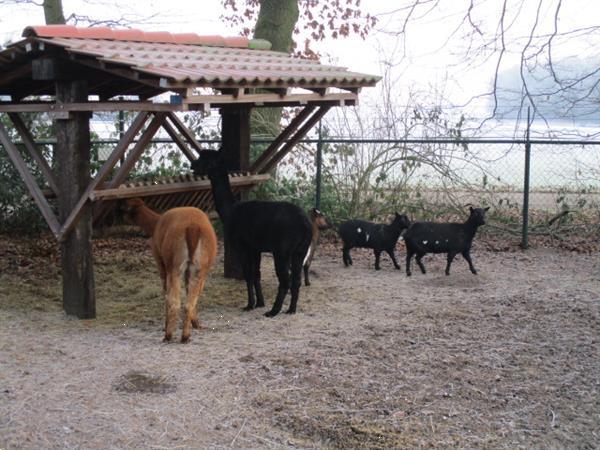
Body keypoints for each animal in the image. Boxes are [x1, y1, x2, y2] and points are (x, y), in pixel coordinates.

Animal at [192, 150, 314, 316]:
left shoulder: (242, 246)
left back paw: (274, 311)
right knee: (296, 280)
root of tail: (305, 223)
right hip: (299, 250)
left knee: (285, 280)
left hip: (282, 250)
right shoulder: (255, 248)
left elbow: (248, 275)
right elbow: (257, 274)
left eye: (206, 159)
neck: (231, 211)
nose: (193, 165)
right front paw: (260, 303)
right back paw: (291, 309)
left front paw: (250, 304)